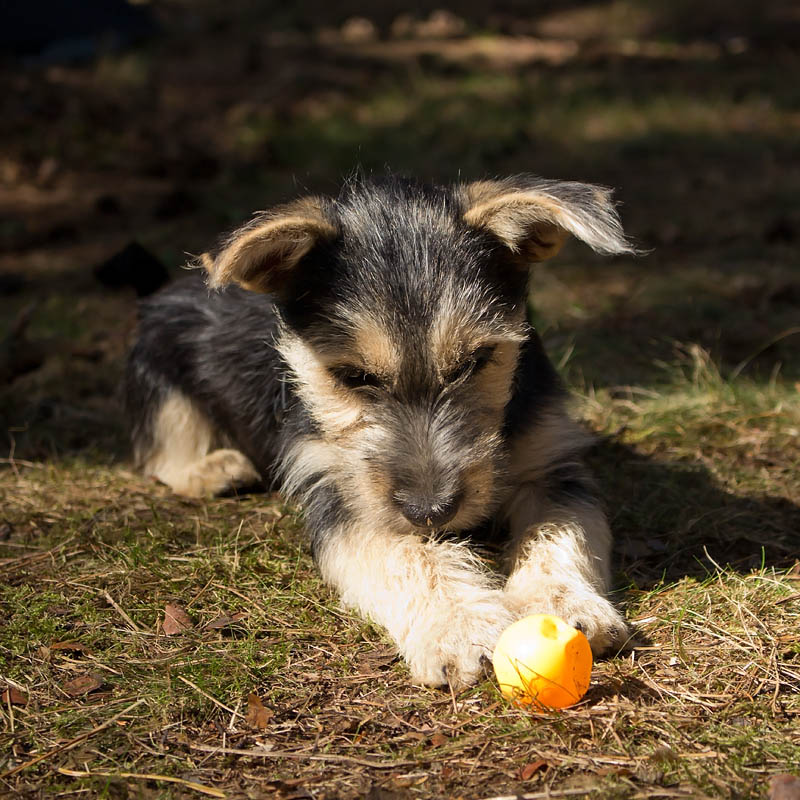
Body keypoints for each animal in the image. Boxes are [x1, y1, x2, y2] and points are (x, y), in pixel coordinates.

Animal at [125, 173, 636, 688]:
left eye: (474, 362)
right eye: (353, 377)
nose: (432, 511)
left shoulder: (550, 465)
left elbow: (559, 532)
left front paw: (563, 604)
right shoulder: (343, 495)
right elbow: (408, 556)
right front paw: (459, 625)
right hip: (161, 377)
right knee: (160, 453)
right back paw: (213, 469)